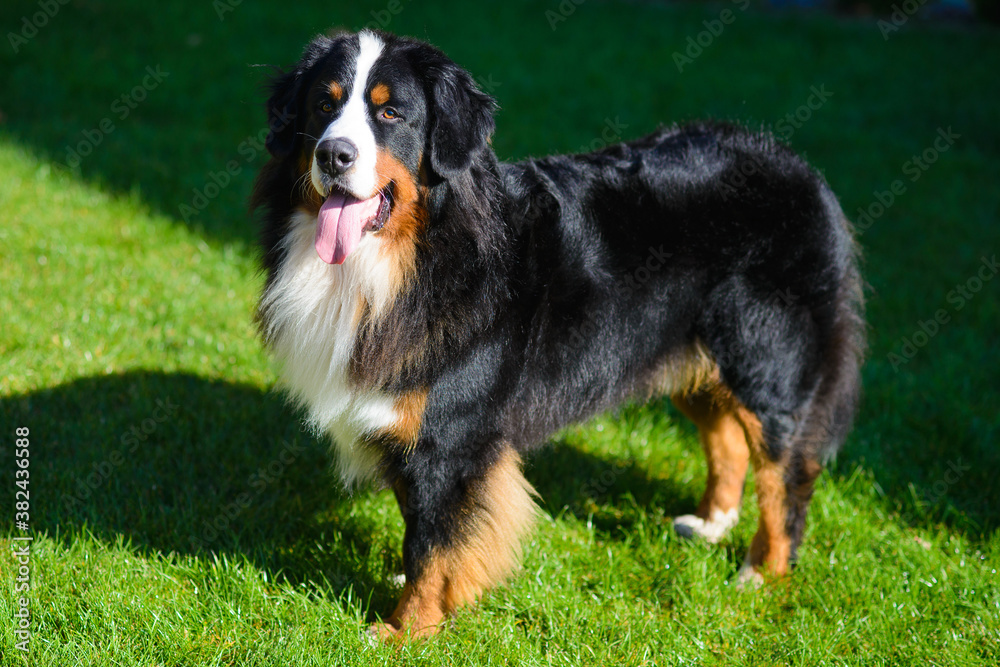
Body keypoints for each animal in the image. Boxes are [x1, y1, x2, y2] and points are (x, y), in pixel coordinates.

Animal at [252, 30, 868, 640]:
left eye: (390, 113)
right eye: (324, 105)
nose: (333, 154)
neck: (408, 258)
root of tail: (798, 169)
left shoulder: (451, 434)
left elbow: (432, 539)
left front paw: (406, 629)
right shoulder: (410, 417)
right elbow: (423, 525)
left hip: (767, 361)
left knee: (785, 473)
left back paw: (764, 572)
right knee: (727, 438)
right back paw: (712, 523)